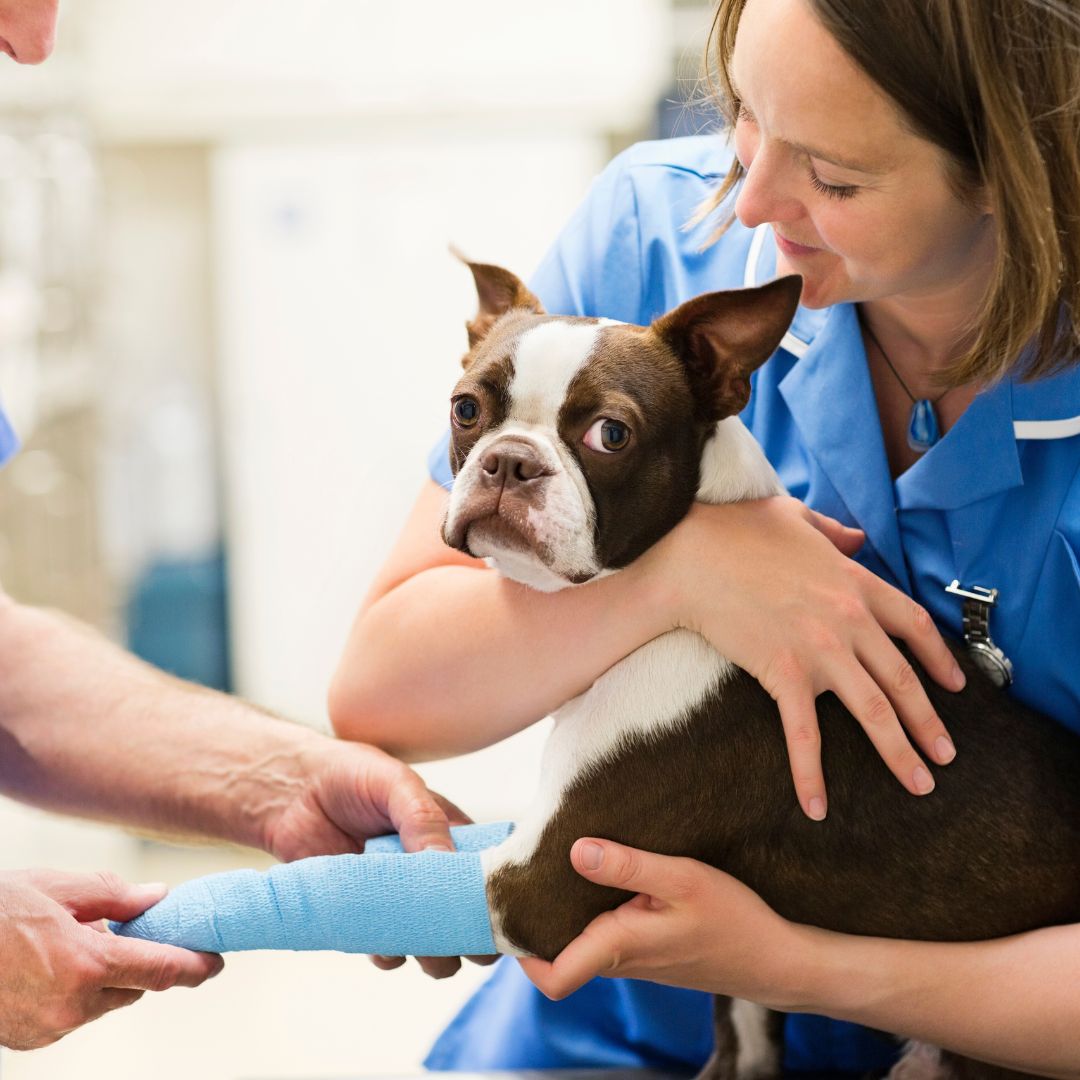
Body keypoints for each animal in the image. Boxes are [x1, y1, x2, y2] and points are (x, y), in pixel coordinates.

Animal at [438, 257, 1080, 1075]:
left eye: (611, 434)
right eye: (465, 409)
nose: (510, 461)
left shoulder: (538, 883)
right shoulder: (740, 1009)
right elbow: (742, 1044)